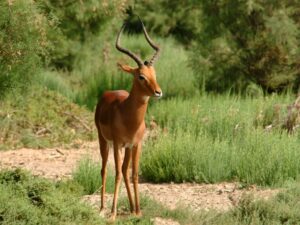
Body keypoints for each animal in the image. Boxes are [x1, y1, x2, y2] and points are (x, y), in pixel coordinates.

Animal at [95, 18, 162, 221]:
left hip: (127, 148)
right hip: (104, 141)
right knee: (105, 169)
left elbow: (134, 174)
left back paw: (132, 208)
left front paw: (138, 211)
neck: (130, 118)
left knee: (125, 171)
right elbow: (116, 173)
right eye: (141, 76)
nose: (158, 92)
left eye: (154, 74)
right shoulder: (118, 143)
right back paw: (102, 208)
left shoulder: (136, 144)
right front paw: (113, 213)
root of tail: (106, 94)